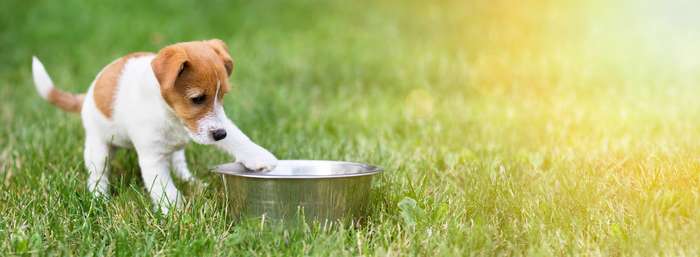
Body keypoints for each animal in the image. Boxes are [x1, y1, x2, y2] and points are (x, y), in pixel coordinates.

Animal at [32, 39, 278, 212]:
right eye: (197, 98)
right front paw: (176, 212)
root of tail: (87, 96)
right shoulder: (153, 157)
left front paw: (259, 157)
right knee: (98, 174)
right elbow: (164, 188)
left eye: (223, 95)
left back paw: (192, 182)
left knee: (178, 164)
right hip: (98, 147)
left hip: (176, 152)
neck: (172, 117)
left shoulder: (215, 125)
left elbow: (237, 137)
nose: (219, 134)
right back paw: (99, 197)